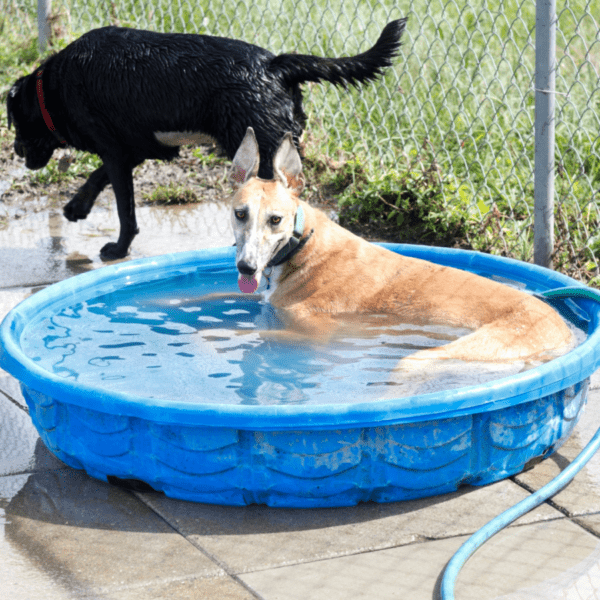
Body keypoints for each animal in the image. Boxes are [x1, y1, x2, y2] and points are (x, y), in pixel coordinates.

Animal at [7, 20, 406, 260]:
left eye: (13, 121)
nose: (15, 150)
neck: (53, 87)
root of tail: (275, 64)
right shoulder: (134, 148)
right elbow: (96, 178)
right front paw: (77, 207)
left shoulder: (116, 152)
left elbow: (124, 209)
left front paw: (118, 249)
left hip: (261, 151)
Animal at [229, 126, 572, 390]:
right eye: (240, 214)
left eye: (275, 219)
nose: (246, 267)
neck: (302, 245)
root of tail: (563, 335)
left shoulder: (315, 333)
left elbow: (246, 331)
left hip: (428, 359)